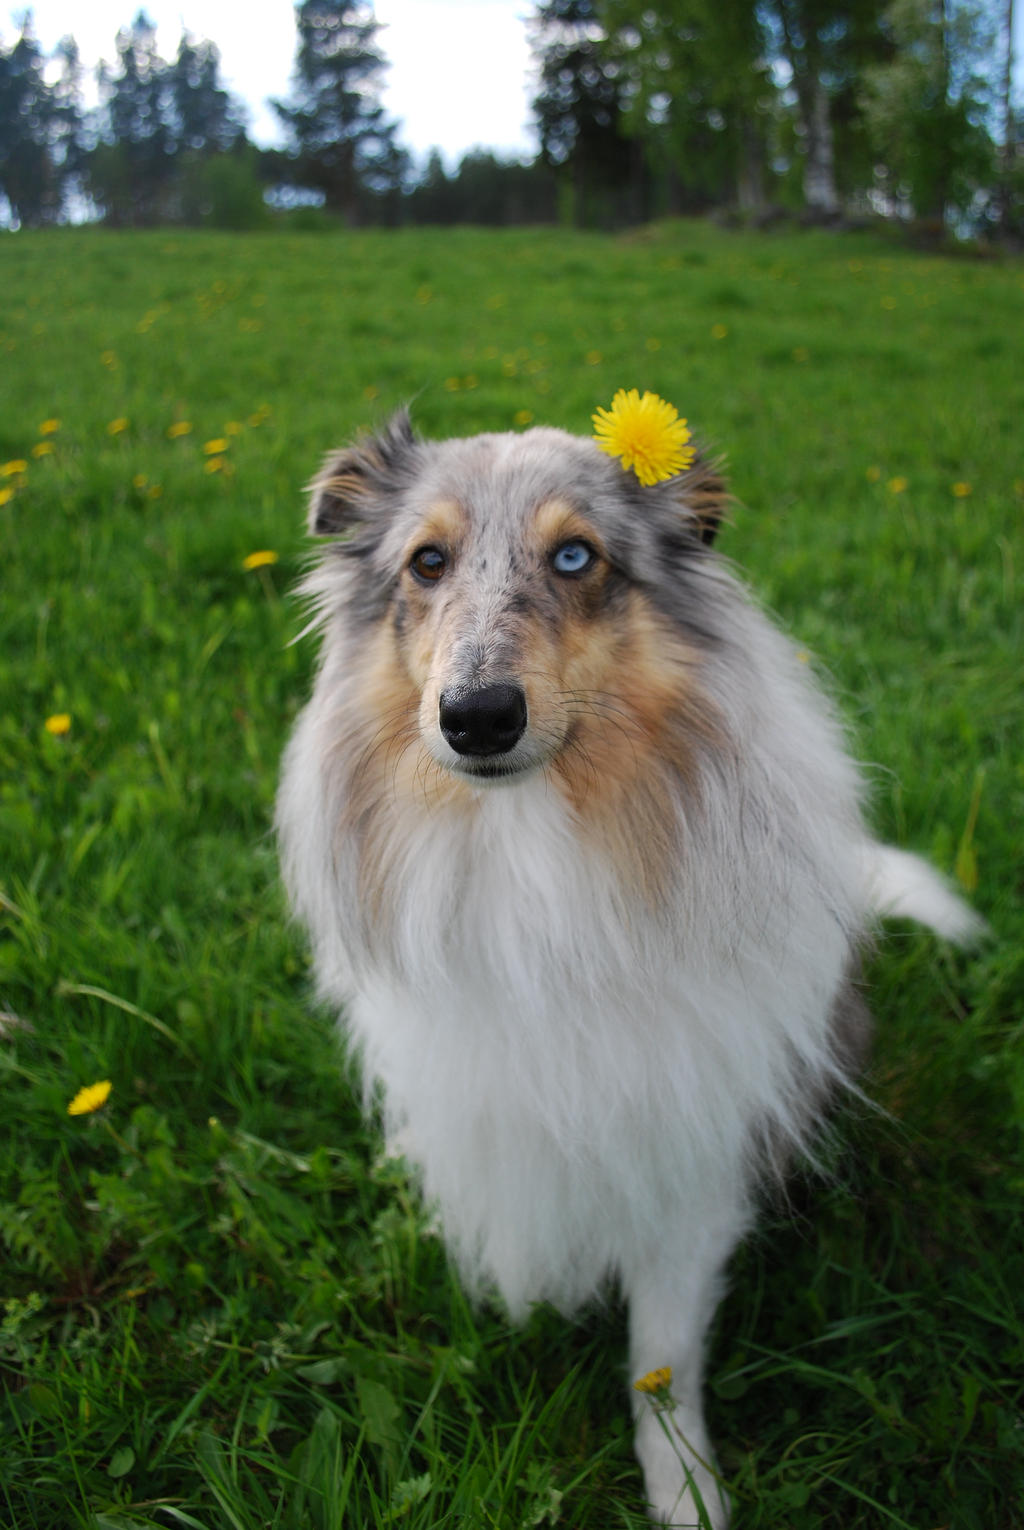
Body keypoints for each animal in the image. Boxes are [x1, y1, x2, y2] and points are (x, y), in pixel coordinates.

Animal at [275, 406, 979, 1530]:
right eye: (426, 562)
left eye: (576, 557)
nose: (477, 718)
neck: (531, 855)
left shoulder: (688, 1157)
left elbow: (660, 1358)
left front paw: (685, 1491)